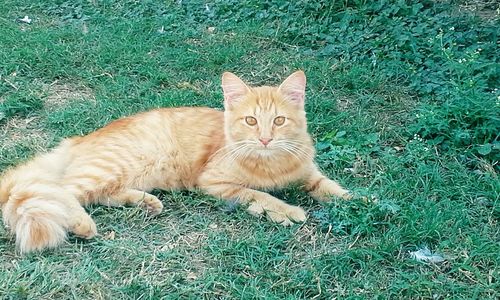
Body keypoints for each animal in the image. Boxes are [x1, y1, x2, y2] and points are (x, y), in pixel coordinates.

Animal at [0, 71, 352, 252]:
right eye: (251, 121)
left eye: (279, 121)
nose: (265, 138)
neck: (272, 163)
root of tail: (78, 139)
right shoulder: (214, 182)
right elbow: (257, 194)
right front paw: (285, 211)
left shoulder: (309, 173)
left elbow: (333, 188)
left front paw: (357, 202)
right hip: (109, 168)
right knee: (62, 191)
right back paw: (82, 224)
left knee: (94, 195)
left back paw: (145, 203)